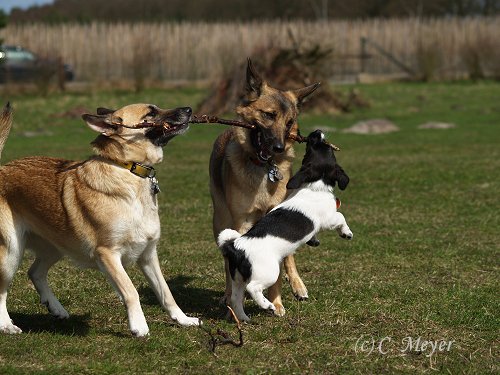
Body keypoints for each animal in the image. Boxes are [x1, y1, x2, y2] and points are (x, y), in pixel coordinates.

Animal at [0, 103, 199, 338]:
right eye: (150, 113)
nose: (189, 109)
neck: (128, 170)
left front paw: (183, 319)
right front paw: (139, 326)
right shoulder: (108, 254)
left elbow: (166, 292)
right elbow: (131, 291)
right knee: (3, 290)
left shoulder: (148, 255)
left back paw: (56, 308)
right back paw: (7, 325)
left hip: (56, 247)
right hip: (11, 252)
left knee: (35, 272)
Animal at [210, 59, 320, 318]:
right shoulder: (241, 222)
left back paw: (297, 286)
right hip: (220, 219)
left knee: (289, 257)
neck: (263, 168)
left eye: (289, 122)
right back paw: (228, 295)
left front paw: (277, 302)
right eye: (269, 115)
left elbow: (282, 264)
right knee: (227, 260)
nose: (278, 147)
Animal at [218, 130, 352, 324]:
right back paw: (267, 305)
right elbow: (340, 217)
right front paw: (347, 233)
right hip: (268, 272)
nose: (316, 132)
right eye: (324, 147)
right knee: (253, 287)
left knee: (236, 298)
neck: (314, 186)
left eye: (310, 148)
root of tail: (236, 247)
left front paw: (314, 240)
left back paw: (244, 318)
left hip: (237, 278)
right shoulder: (328, 218)